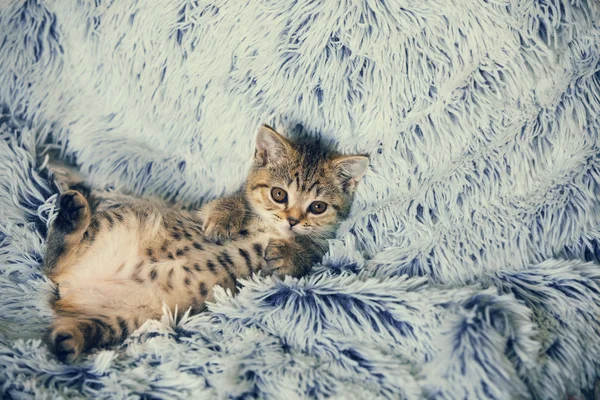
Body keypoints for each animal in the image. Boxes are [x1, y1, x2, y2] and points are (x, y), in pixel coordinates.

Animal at [42, 126, 368, 362]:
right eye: (279, 194)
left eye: (317, 207)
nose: (292, 220)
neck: (272, 229)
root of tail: (72, 285)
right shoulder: (207, 207)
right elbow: (231, 200)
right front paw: (224, 220)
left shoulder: (320, 251)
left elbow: (309, 255)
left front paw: (289, 254)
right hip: (120, 224)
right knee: (52, 261)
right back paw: (71, 215)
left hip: (127, 320)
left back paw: (68, 341)